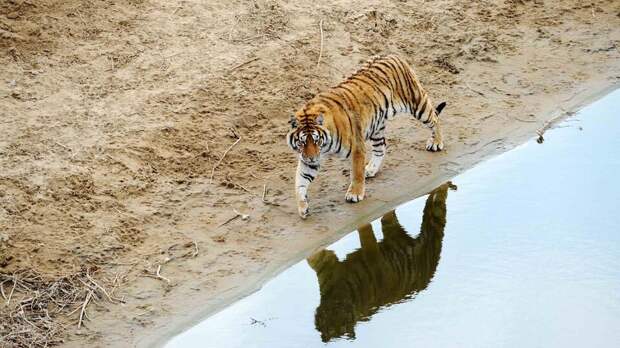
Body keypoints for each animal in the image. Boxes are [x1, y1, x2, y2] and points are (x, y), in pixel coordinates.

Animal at [286, 54, 446, 218]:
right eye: (302, 142)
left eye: (316, 140)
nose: (312, 158)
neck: (324, 147)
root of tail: (392, 55)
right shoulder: (308, 159)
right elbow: (300, 182)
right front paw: (302, 207)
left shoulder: (356, 148)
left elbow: (356, 173)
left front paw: (355, 194)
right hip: (377, 126)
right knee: (381, 147)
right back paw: (370, 169)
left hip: (417, 104)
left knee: (434, 118)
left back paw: (436, 143)